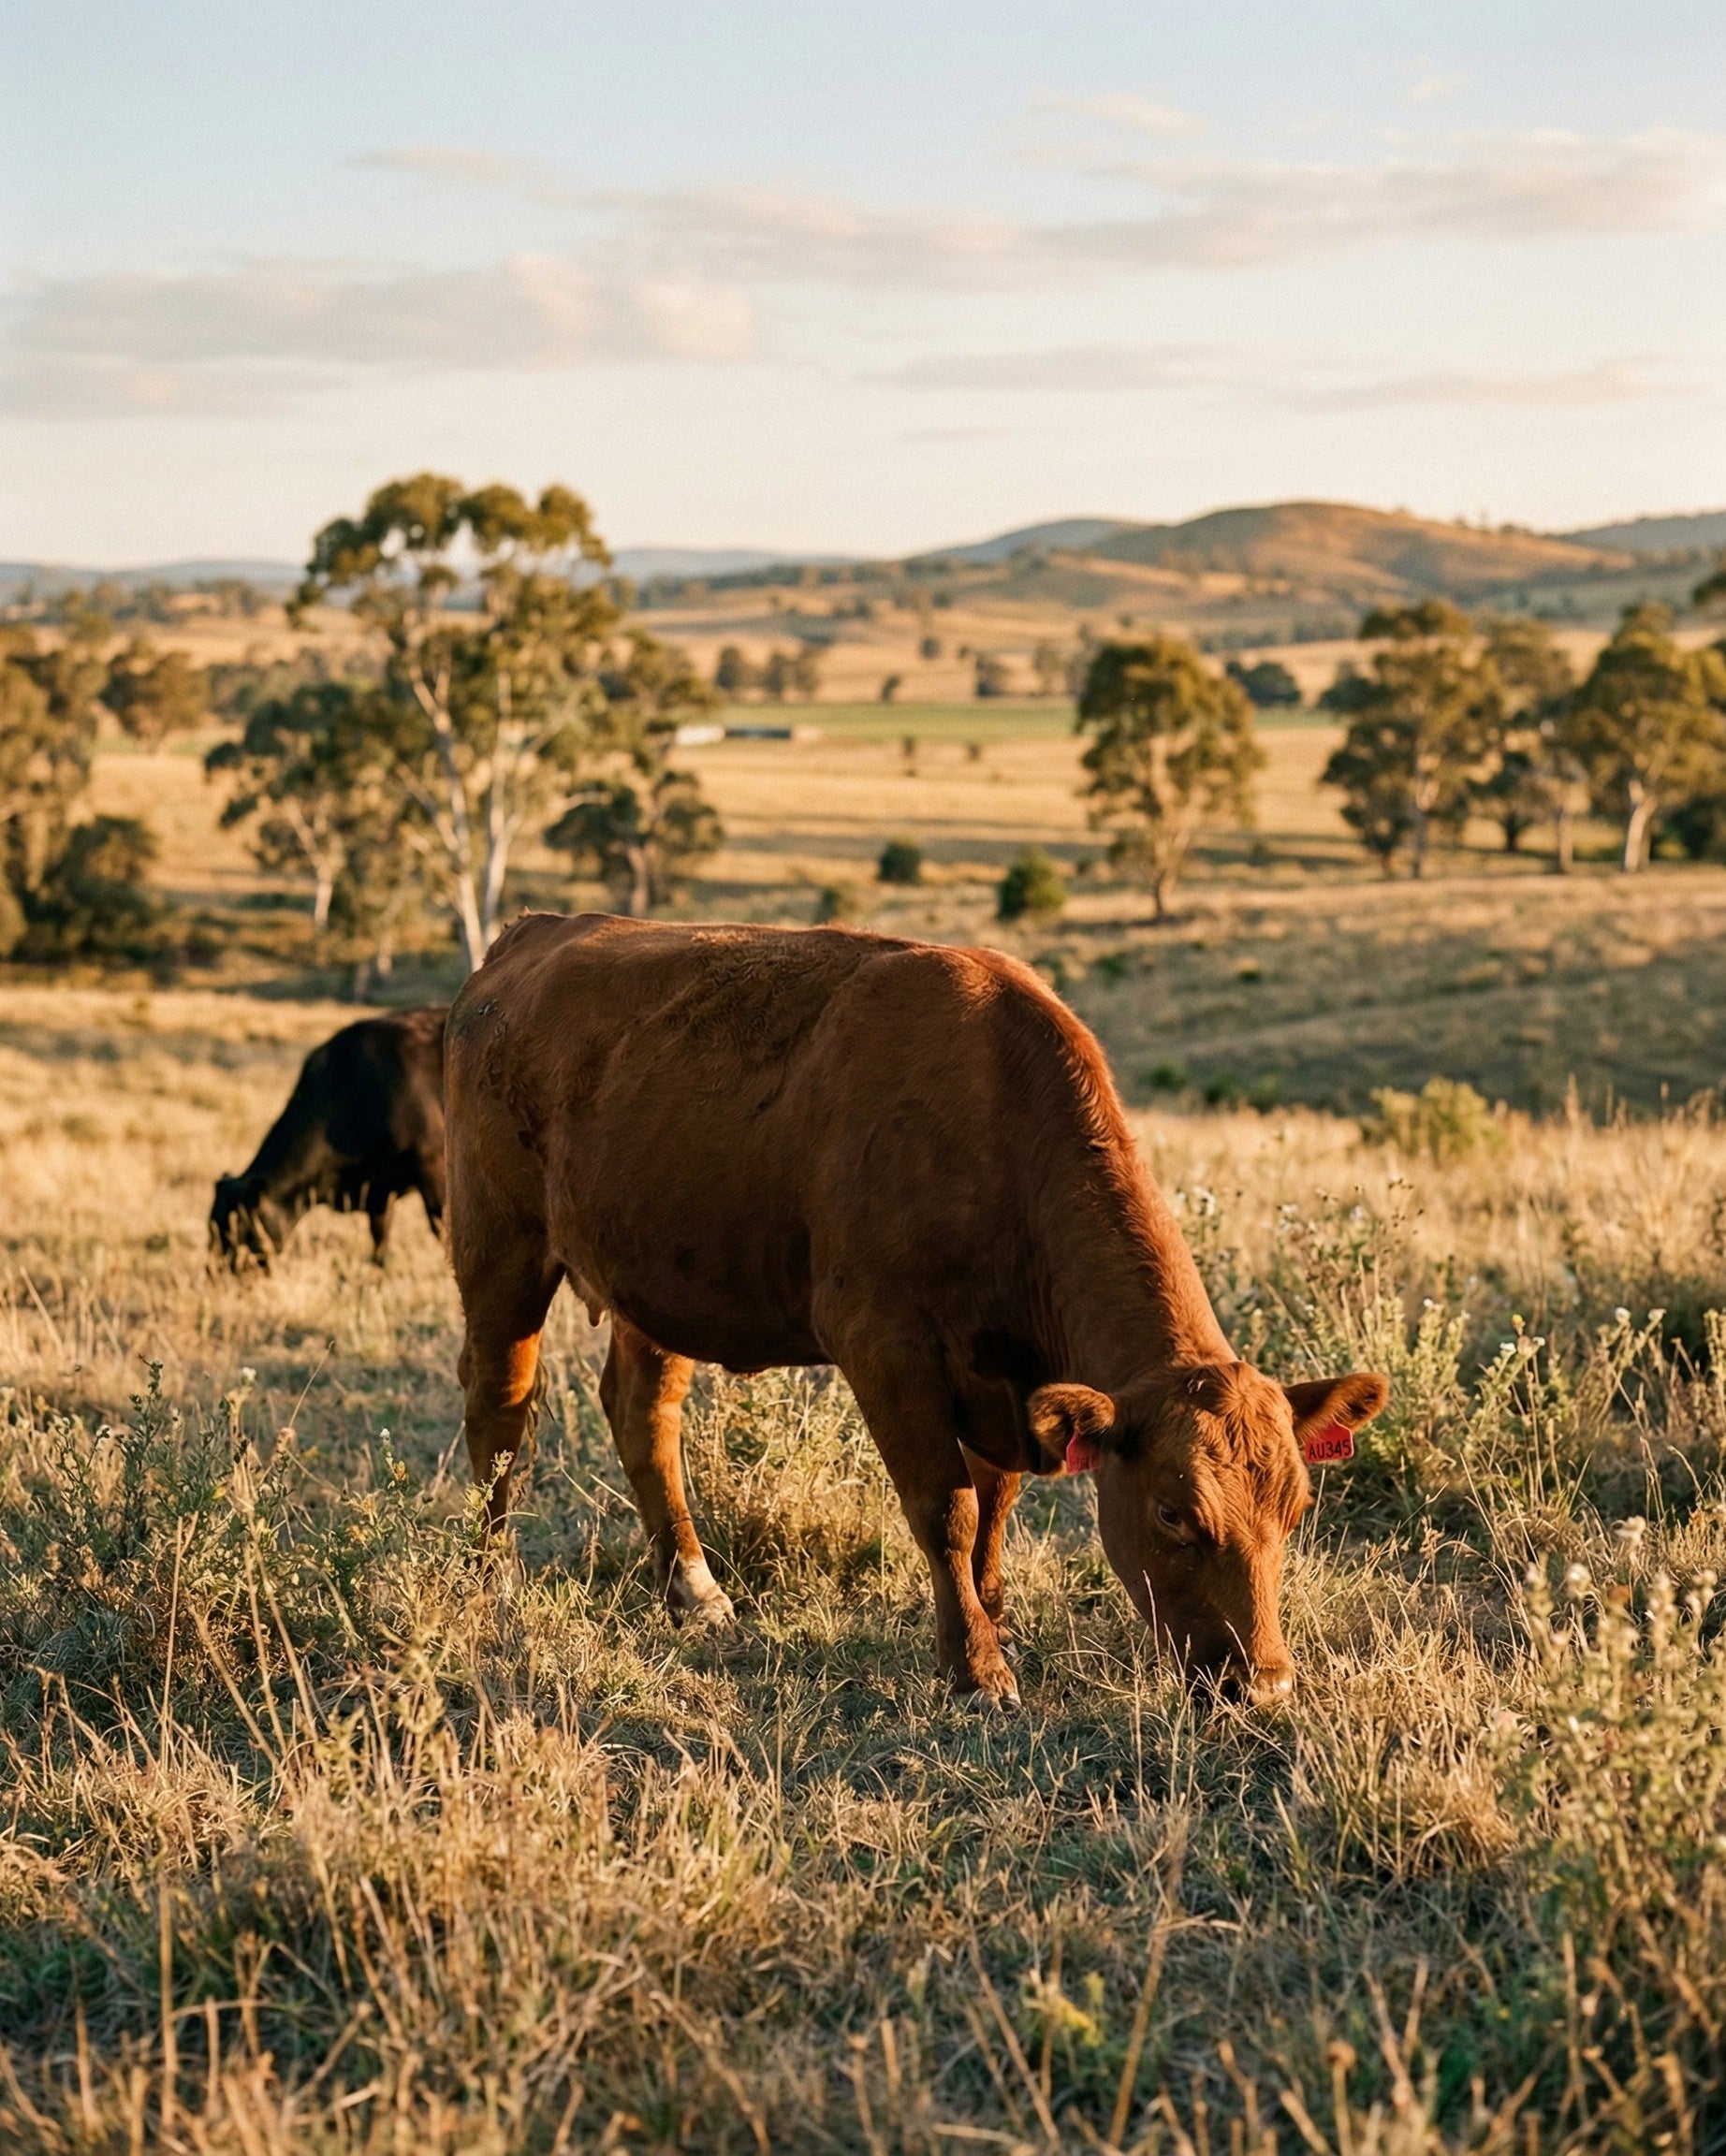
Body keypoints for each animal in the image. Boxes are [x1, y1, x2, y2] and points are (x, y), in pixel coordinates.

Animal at [210, 1007, 449, 1270]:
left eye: (239, 1229)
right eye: (212, 1229)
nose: (214, 1272)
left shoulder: (432, 1166)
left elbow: (442, 1228)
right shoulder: (379, 1191)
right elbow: (380, 1239)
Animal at [445, 915, 1386, 1707]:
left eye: (1297, 1511)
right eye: (1172, 1514)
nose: (1264, 1684)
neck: (997, 1126)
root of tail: (531, 936)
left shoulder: (1007, 1384)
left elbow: (994, 1510)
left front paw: (995, 1627)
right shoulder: (886, 1348)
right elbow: (947, 1509)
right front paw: (975, 1669)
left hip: (657, 1280)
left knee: (643, 1415)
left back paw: (695, 1591)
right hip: (501, 1247)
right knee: (500, 1406)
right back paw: (495, 1582)